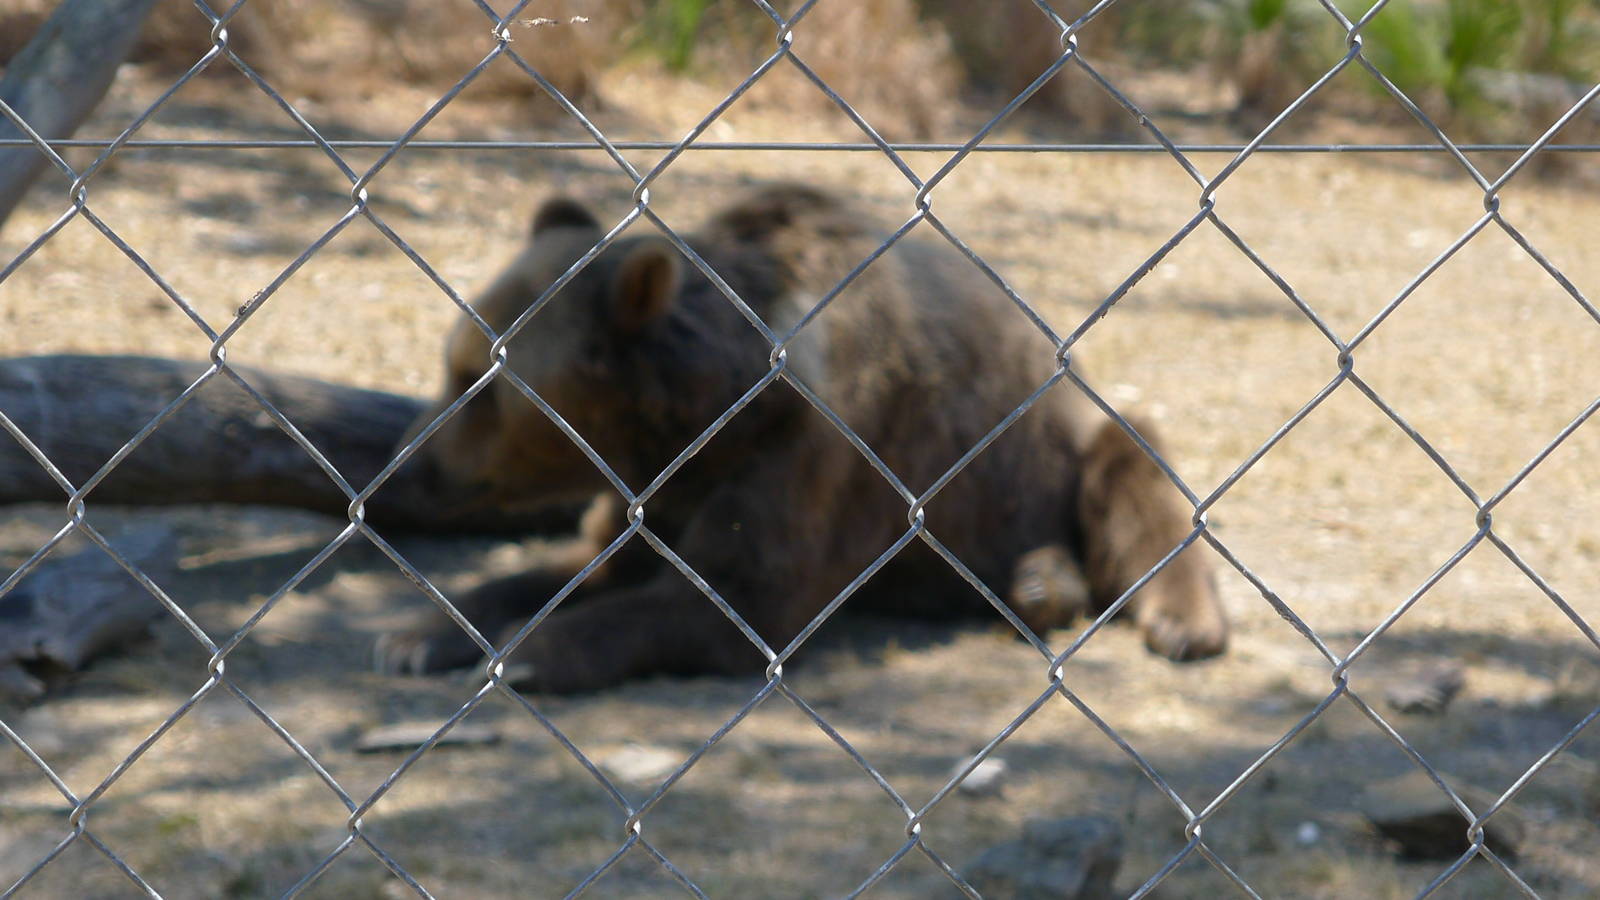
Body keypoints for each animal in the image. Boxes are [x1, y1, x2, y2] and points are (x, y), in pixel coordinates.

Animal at [374, 183, 1227, 692]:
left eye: (478, 383)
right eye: (453, 362)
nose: (403, 461)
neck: (705, 418)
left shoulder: (817, 450)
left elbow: (739, 598)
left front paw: (529, 650)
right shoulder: (658, 486)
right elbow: (585, 561)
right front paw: (420, 632)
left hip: (1058, 440)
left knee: (1136, 469)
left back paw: (1177, 620)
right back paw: (1043, 585)